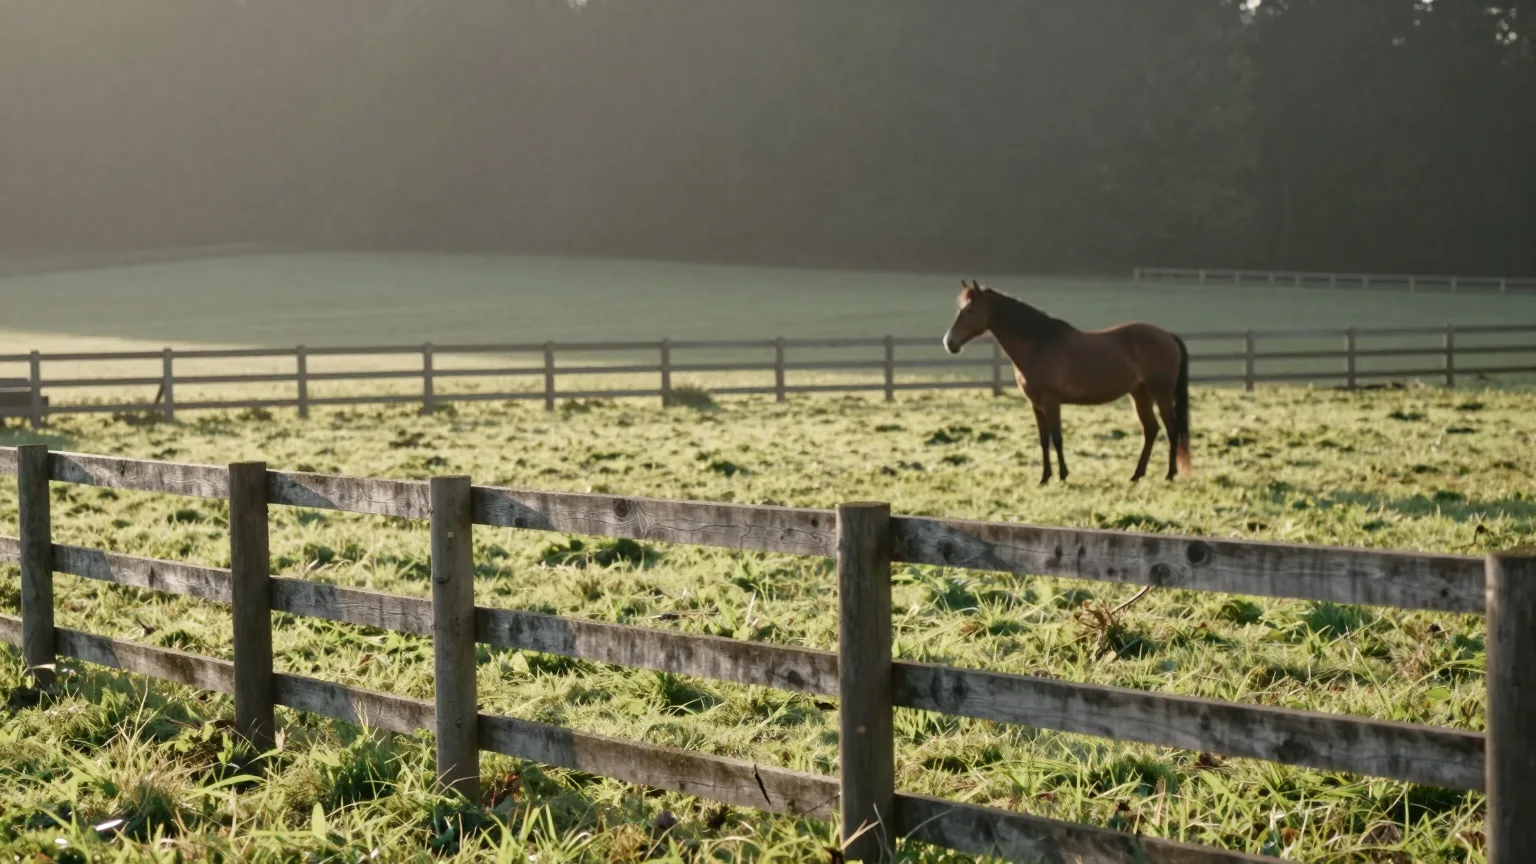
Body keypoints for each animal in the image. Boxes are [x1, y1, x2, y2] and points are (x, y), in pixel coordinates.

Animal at [941, 280, 1191, 485]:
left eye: (970, 310)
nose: (949, 343)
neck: (1039, 344)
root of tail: (1168, 335)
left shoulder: (1051, 401)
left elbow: (1057, 437)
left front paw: (1062, 475)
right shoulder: (1036, 404)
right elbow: (1044, 440)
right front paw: (1044, 477)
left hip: (1161, 393)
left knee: (1171, 428)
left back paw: (1169, 474)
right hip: (1139, 393)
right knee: (1151, 429)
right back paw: (1137, 475)